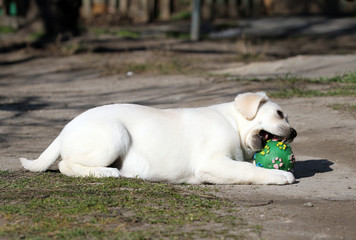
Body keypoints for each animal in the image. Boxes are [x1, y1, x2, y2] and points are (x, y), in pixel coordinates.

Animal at [20, 91, 298, 184]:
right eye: (279, 114)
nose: (294, 133)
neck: (233, 123)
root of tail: (63, 130)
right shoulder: (211, 163)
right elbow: (249, 169)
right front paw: (279, 175)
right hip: (114, 134)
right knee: (66, 165)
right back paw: (104, 172)